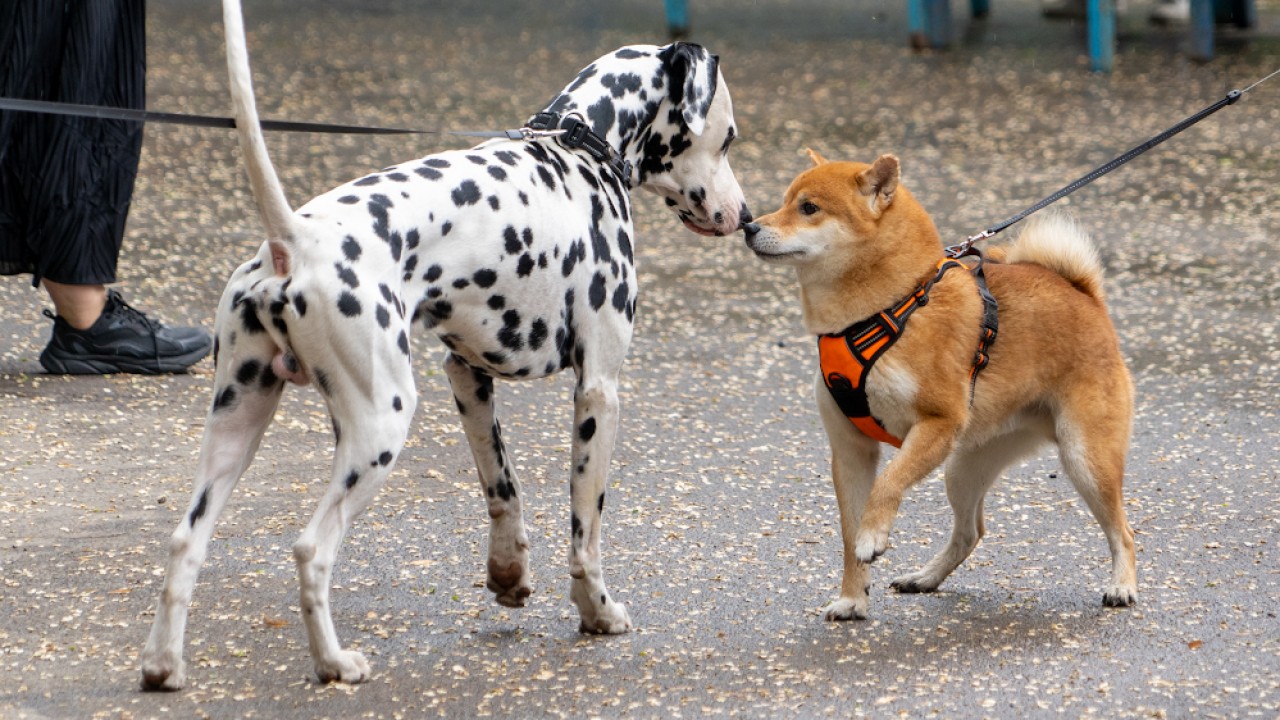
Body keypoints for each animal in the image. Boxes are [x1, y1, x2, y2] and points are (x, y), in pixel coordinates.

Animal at [137, 0, 747, 686]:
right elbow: (584, 528)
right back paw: (335, 663)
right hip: (380, 426)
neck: (579, 144)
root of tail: (293, 240)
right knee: (312, 550)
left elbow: (502, 488)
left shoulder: (466, 374)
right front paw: (597, 610)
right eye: (727, 137)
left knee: (186, 541)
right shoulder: (598, 393)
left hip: (237, 427)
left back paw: (163, 666)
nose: (746, 215)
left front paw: (508, 574)